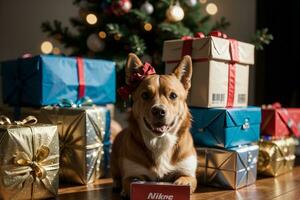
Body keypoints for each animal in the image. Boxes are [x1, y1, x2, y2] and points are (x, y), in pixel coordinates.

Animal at [110, 53, 197, 197]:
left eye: (173, 95)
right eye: (145, 95)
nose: (159, 111)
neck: (159, 141)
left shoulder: (188, 173)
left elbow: (186, 180)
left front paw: (179, 184)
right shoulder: (131, 175)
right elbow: (130, 182)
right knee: (116, 175)